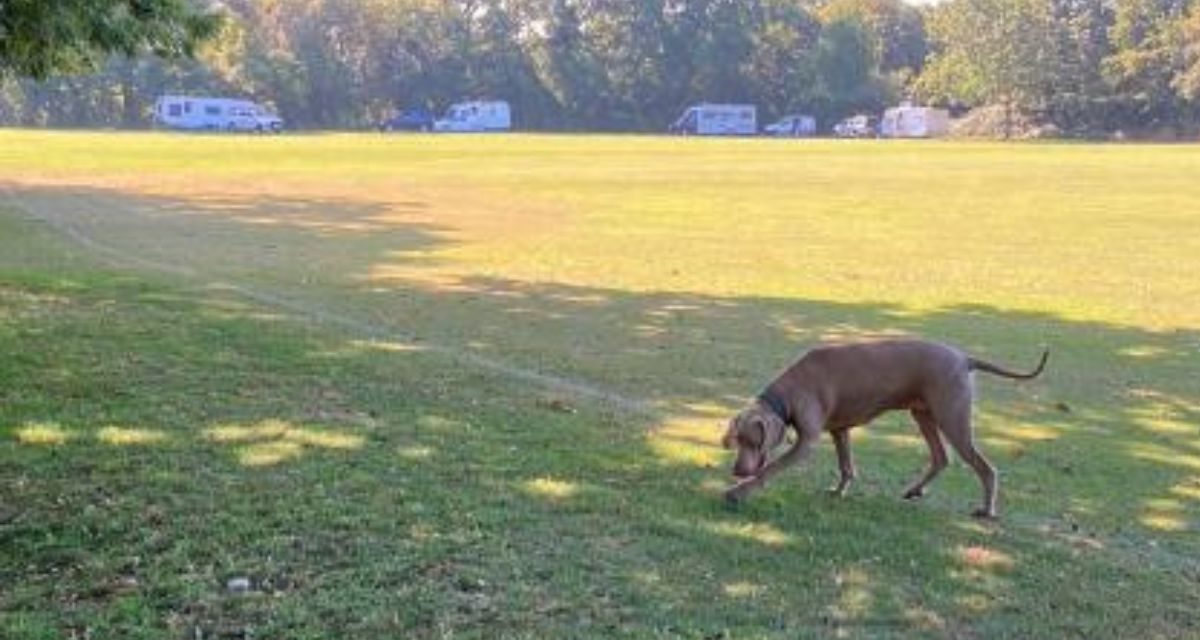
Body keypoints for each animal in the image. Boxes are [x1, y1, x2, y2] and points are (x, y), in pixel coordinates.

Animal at [720, 336, 1051, 516]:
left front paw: (738, 492)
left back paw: (986, 510)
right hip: (924, 413)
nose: (736, 470)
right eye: (737, 440)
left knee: (985, 467)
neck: (789, 392)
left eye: (753, 441)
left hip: (952, 415)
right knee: (941, 457)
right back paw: (914, 490)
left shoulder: (807, 442)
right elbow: (846, 465)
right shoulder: (839, 429)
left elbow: (769, 468)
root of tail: (964, 358)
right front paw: (839, 490)